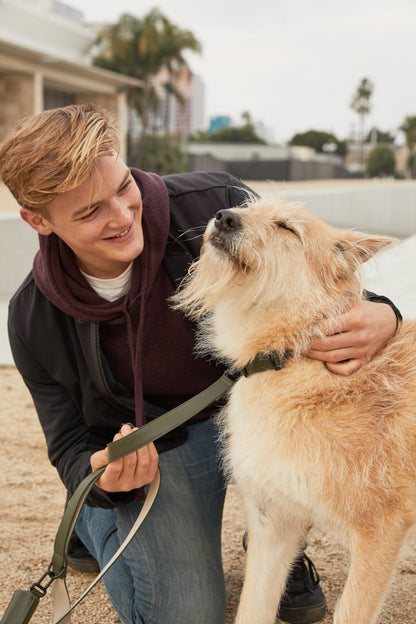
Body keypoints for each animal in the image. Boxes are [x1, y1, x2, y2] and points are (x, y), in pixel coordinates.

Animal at [173, 197, 416, 624]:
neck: (287, 355)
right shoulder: (274, 519)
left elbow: (350, 612)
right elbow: (252, 609)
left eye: (286, 227)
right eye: (247, 207)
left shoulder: (382, 529)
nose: (224, 217)